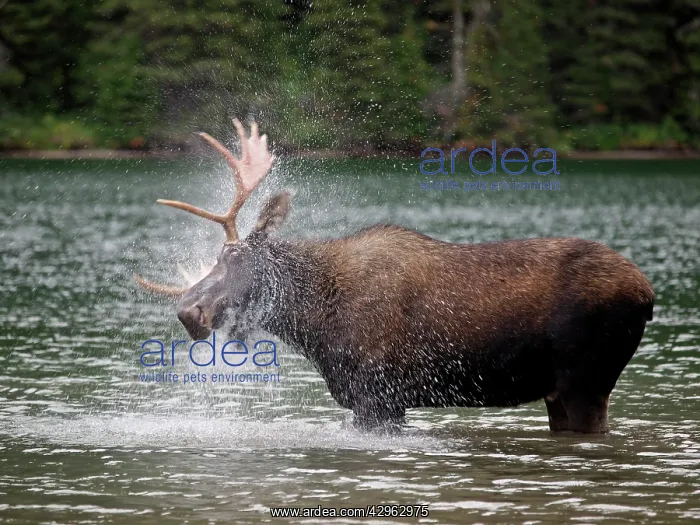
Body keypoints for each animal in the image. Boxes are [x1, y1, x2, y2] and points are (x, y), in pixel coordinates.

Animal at [135, 120, 655, 434]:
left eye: (237, 257)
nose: (189, 311)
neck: (315, 323)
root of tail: (648, 294)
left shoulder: (379, 396)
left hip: (587, 379)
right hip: (561, 389)